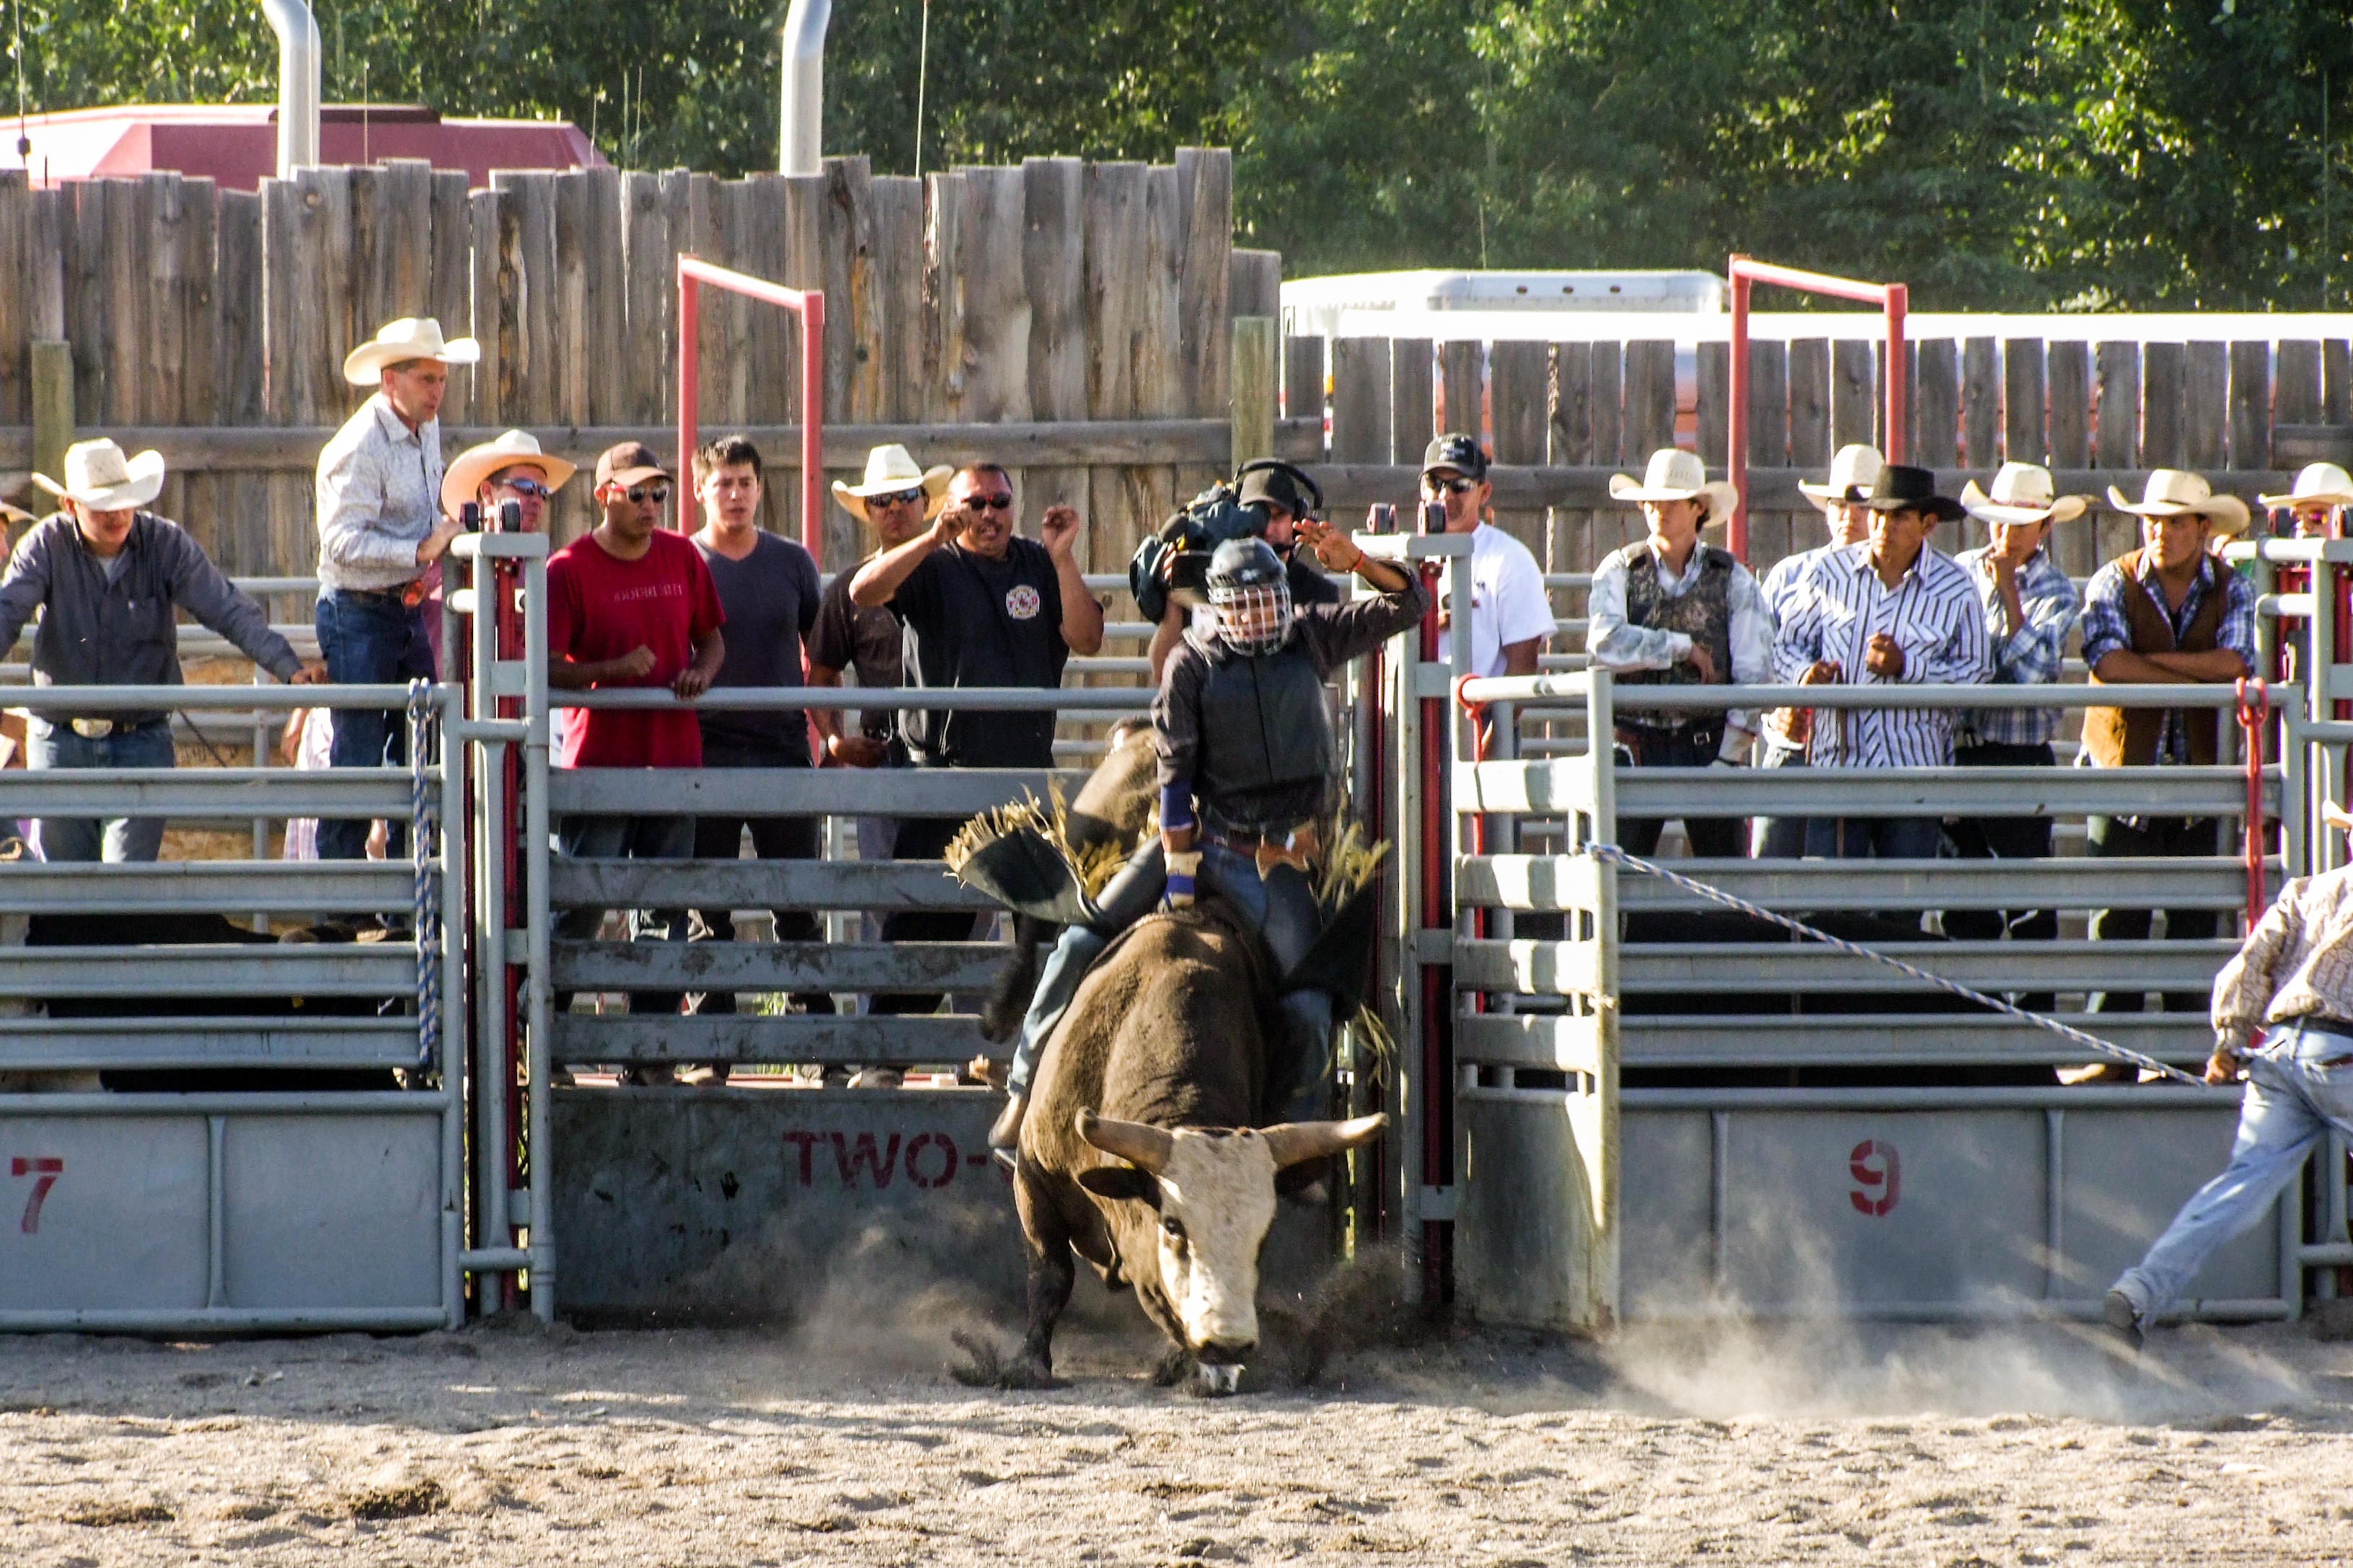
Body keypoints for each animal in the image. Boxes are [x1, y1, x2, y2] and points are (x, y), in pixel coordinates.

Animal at [1003, 896, 1385, 1396]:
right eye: (1173, 1226)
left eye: (1264, 1232)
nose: (1228, 1344)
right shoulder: (1034, 1178)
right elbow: (1050, 1274)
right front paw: (1028, 1364)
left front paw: (1192, 1366)